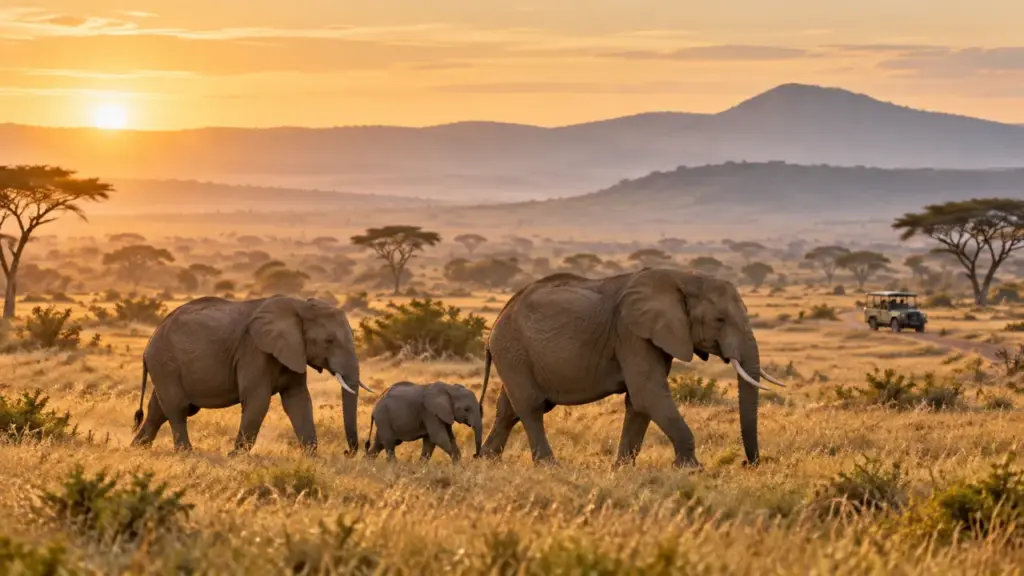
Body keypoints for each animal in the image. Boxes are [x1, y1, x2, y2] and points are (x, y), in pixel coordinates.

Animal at [130, 295, 374, 455]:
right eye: (329, 341)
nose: (348, 452)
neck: (301, 306)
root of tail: (148, 345)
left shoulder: (294, 351)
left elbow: (298, 400)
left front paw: (311, 457)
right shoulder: (255, 350)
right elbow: (257, 400)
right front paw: (235, 457)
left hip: (165, 367)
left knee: (158, 410)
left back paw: (138, 447)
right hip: (165, 363)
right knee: (177, 408)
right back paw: (186, 453)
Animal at [477, 269, 785, 468]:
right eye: (720, 320)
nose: (748, 463)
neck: (687, 278)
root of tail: (496, 324)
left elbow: (638, 402)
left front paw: (623, 468)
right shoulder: (631, 333)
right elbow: (648, 393)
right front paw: (691, 469)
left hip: (516, 356)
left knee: (509, 409)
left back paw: (486, 461)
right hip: (514, 350)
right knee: (531, 406)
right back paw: (549, 466)